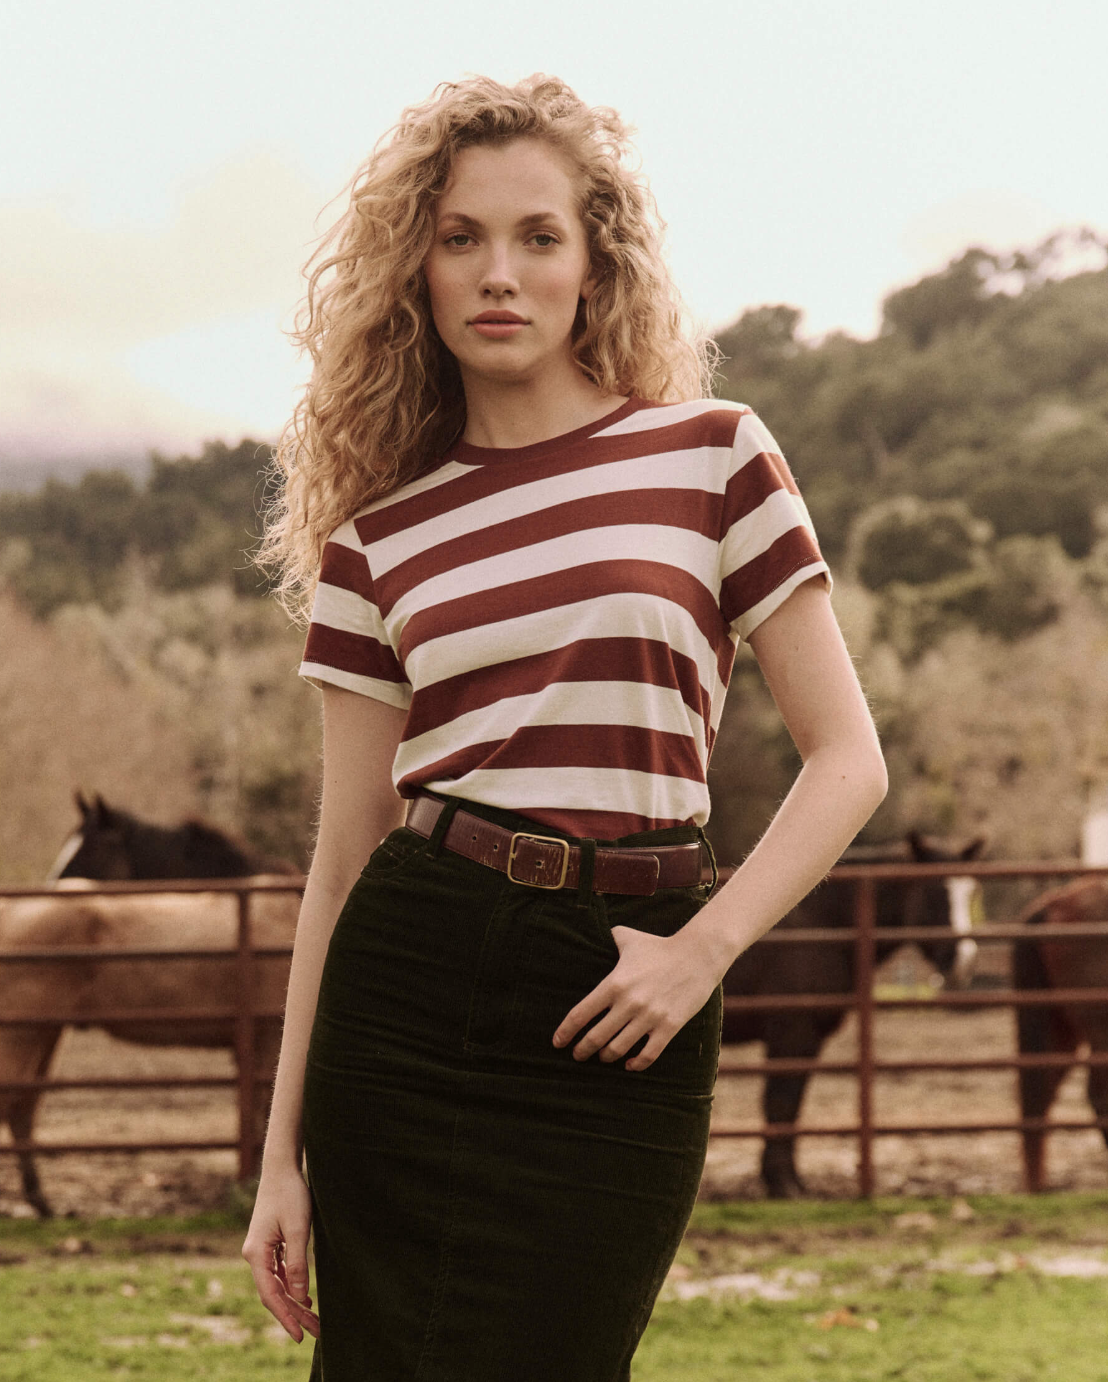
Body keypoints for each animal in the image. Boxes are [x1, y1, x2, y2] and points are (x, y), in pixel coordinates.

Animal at [2, 796, 299, 1216]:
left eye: (91, 849)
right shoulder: (269, 1039)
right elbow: (262, 1115)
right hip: (21, 1035)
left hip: (44, 1036)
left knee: (22, 1109)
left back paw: (42, 1202)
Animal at [718, 829, 983, 1199]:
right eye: (932, 892)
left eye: (969, 891)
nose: (963, 960)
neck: (821, 922)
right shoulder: (793, 1034)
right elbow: (781, 1103)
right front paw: (782, 1183)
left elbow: (793, 1106)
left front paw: (793, 1180)